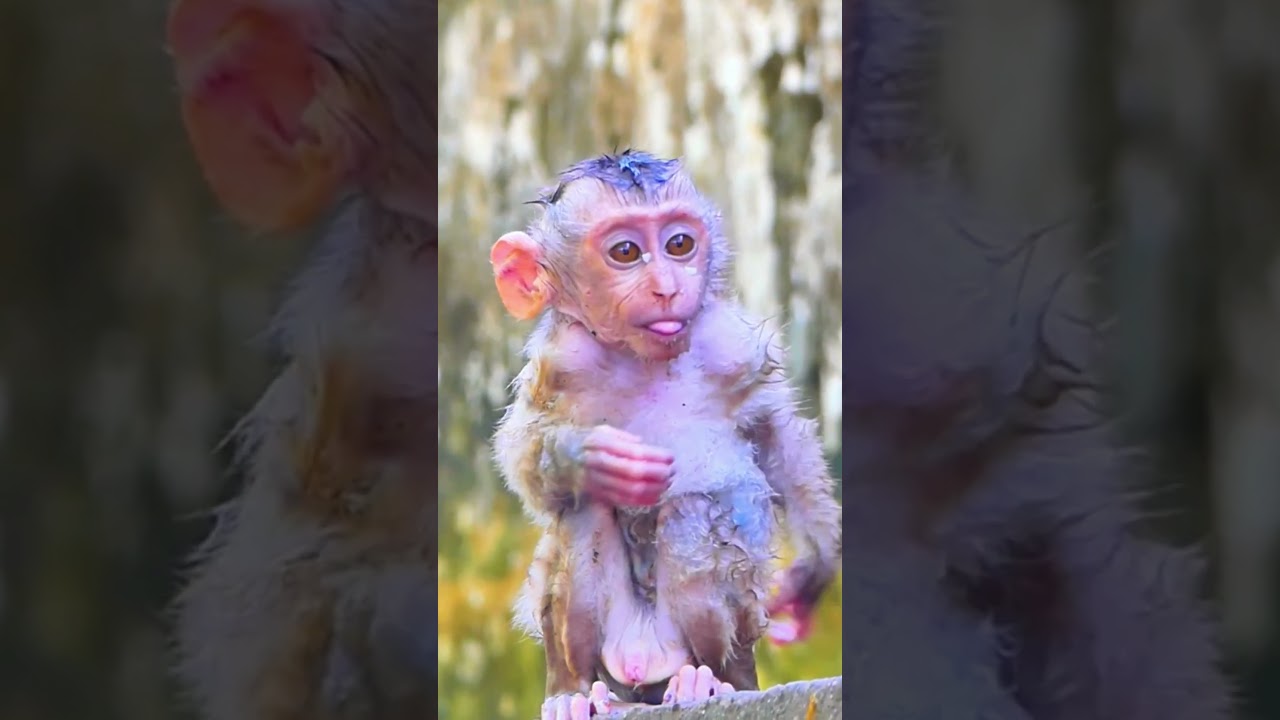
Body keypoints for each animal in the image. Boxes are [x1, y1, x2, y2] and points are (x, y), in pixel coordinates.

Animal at [488, 150, 843, 720]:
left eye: (679, 244)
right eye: (626, 252)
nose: (668, 288)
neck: (642, 360)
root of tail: (642, 663)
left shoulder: (727, 341)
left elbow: (773, 430)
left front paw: (815, 569)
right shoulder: (561, 358)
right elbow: (523, 445)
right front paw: (591, 458)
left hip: (723, 636)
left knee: (691, 517)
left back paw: (708, 681)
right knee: (583, 510)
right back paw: (572, 693)